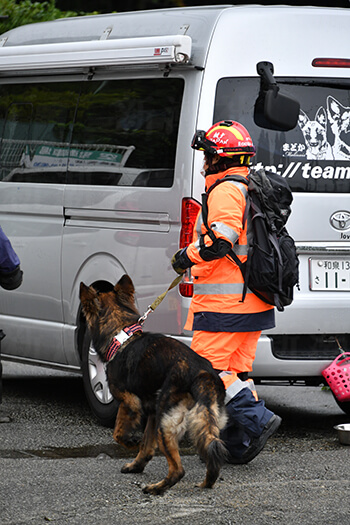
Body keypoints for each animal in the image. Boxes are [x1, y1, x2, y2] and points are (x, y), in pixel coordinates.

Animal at [79, 276, 228, 494]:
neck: (122, 335)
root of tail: (200, 373)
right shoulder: (151, 412)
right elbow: (146, 447)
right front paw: (136, 465)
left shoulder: (129, 402)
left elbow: (118, 434)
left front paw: (131, 442)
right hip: (204, 420)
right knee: (212, 450)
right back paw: (206, 482)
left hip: (165, 425)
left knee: (178, 470)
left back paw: (156, 488)